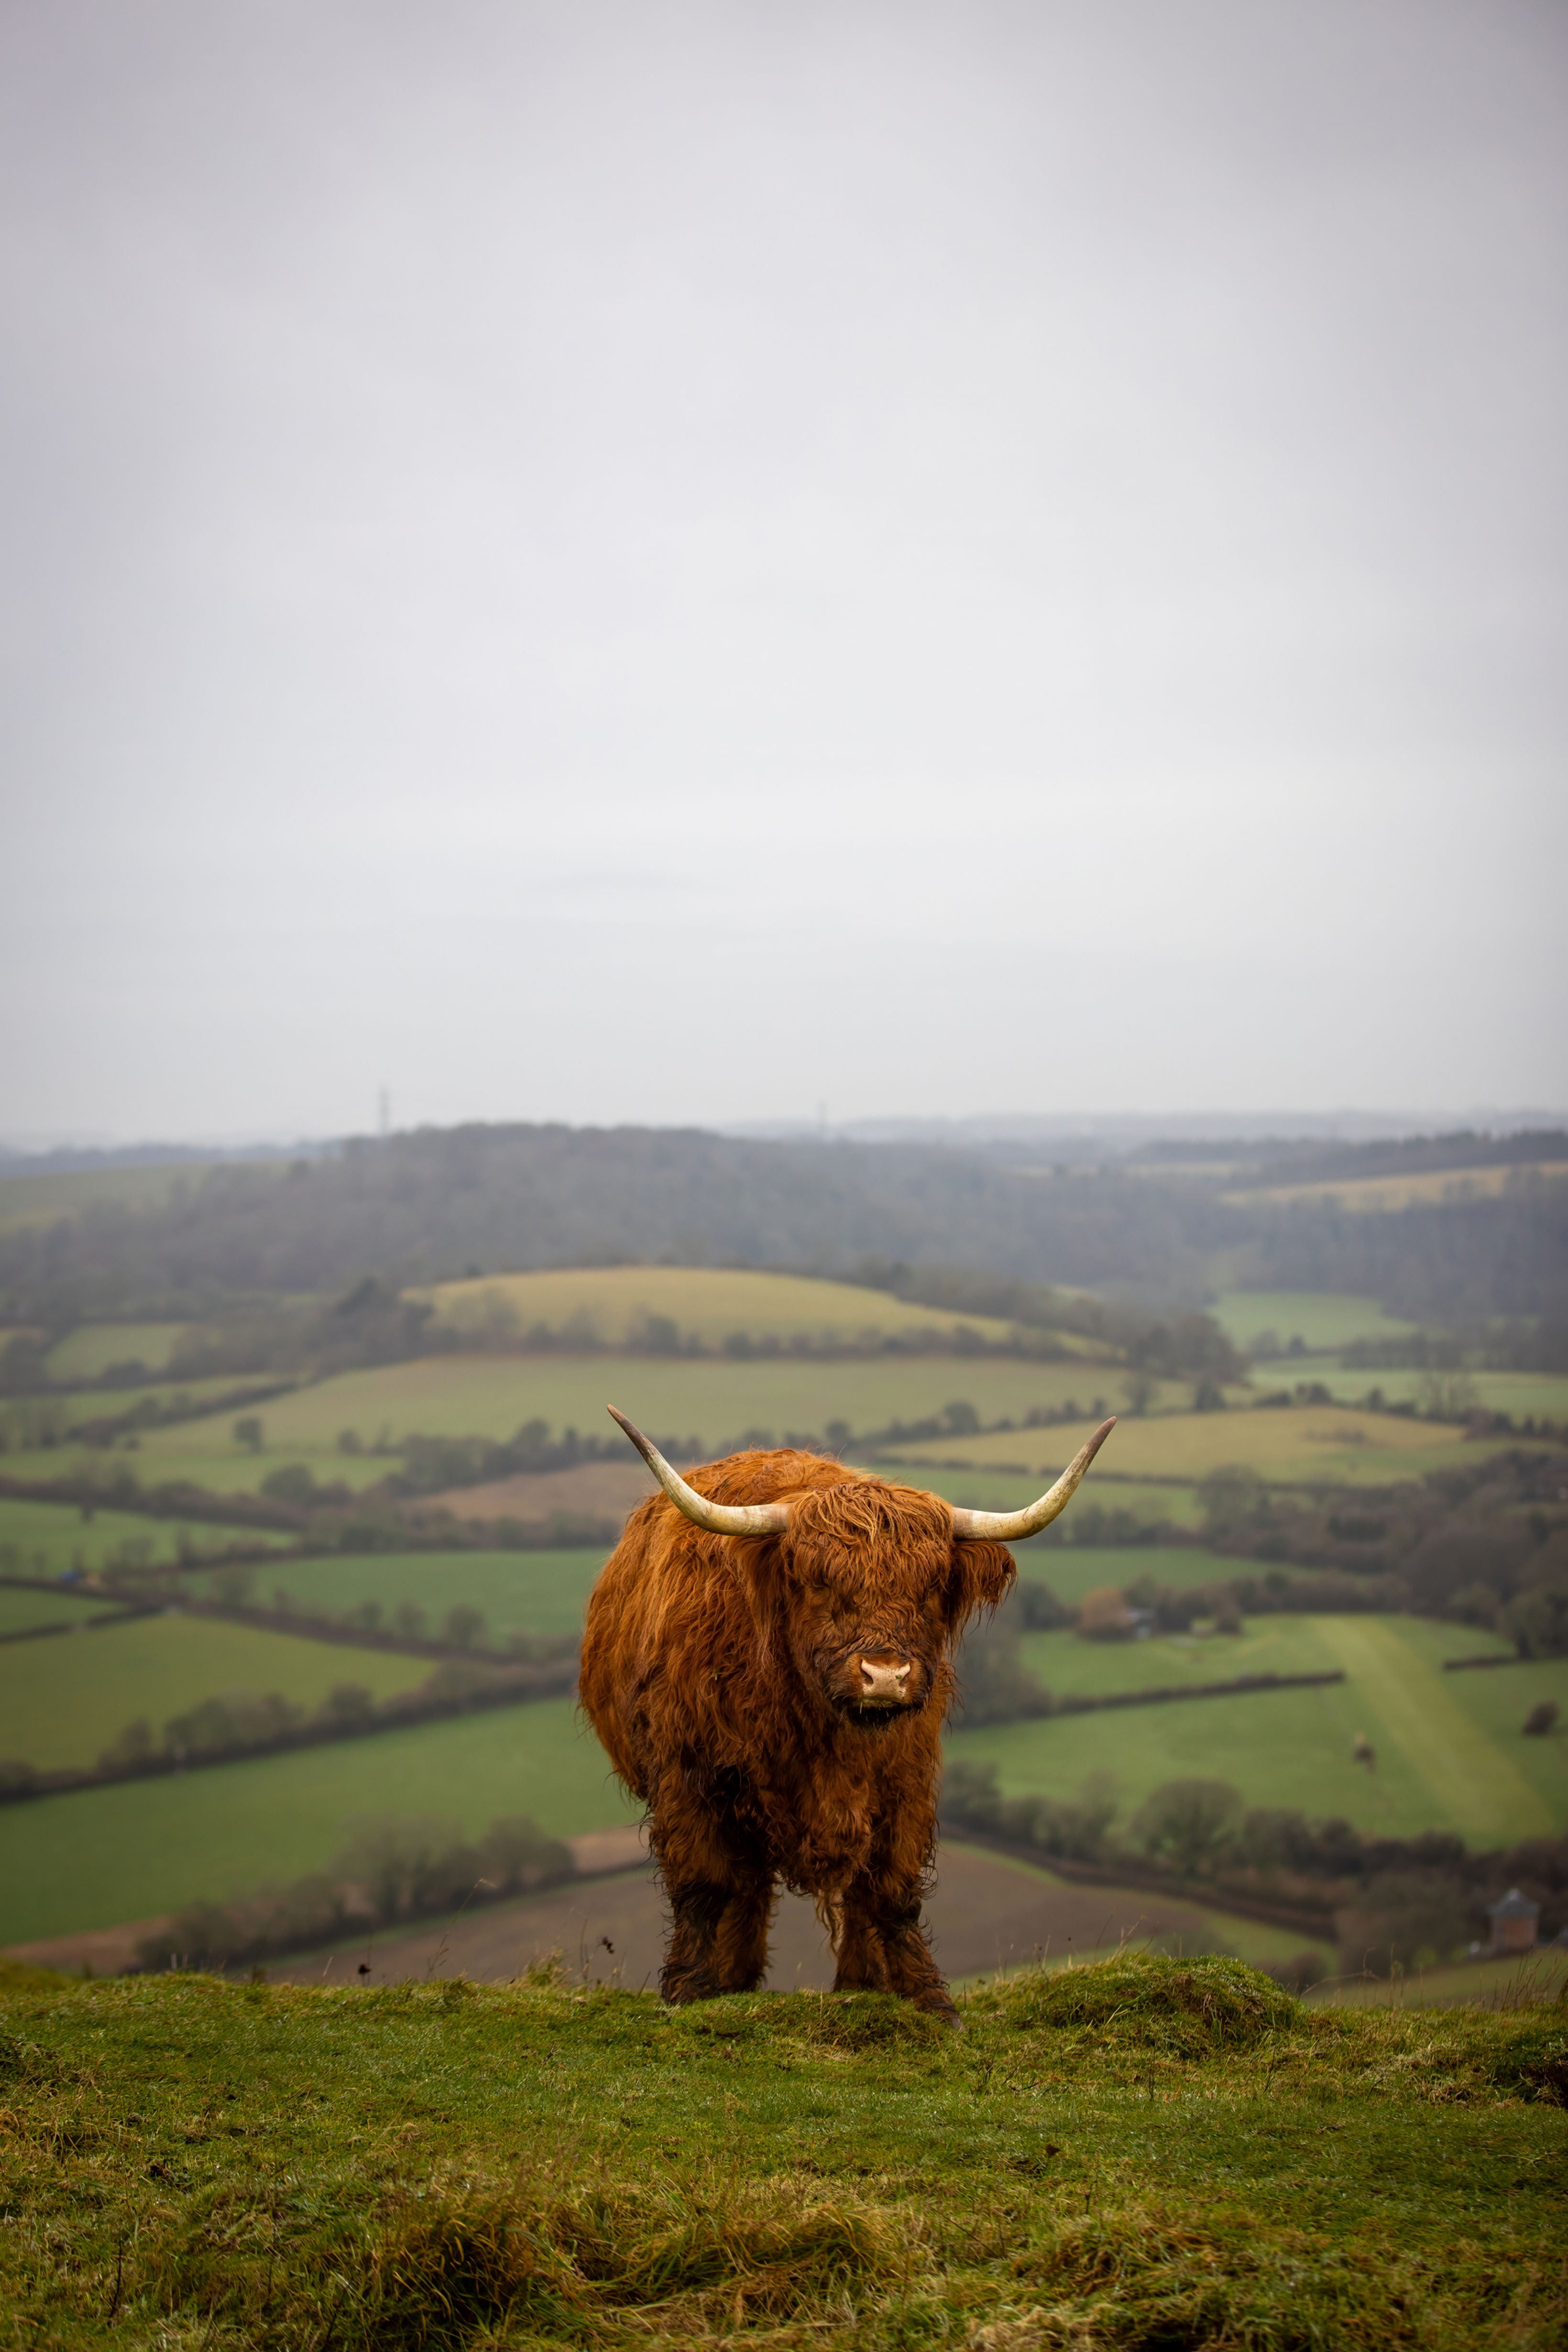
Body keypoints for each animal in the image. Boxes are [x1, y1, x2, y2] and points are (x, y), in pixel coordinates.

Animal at [578, 1406, 1116, 2024]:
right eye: (819, 1582)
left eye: (933, 1586)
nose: (884, 1675)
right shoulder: (688, 1778)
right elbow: (705, 1886)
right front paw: (690, 1990)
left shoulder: (906, 1781)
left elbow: (891, 1891)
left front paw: (921, 1996)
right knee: (745, 1887)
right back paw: (733, 1982)